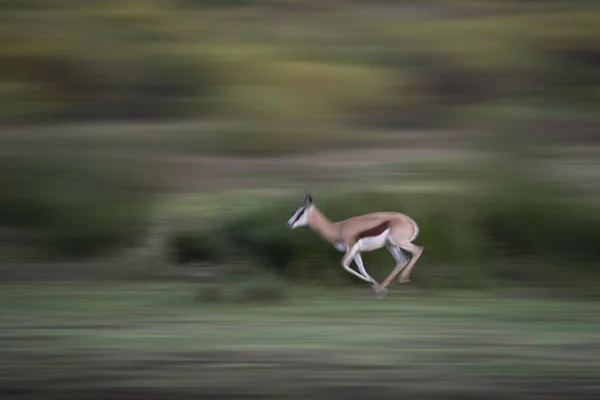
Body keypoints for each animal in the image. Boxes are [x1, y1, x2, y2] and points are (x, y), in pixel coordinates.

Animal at [288, 191, 422, 296]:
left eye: (301, 212)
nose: (289, 223)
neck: (338, 228)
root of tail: (409, 221)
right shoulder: (357, 251)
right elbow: (361, 269)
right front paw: (374, 285)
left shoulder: (351, 247)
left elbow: (343, 264)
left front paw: (372, 283)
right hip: (391, 245)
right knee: (402, 260)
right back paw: (383, 288)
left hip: (398, 242)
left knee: (417, 250)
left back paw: (402, 279)